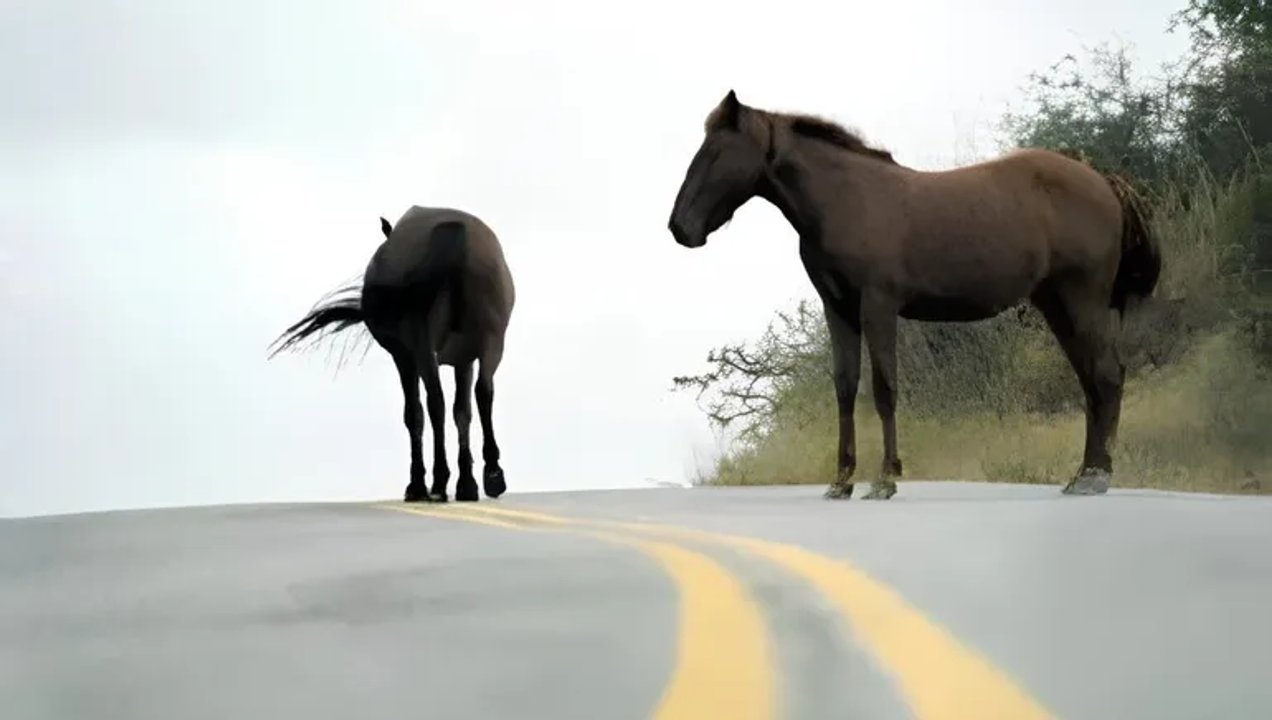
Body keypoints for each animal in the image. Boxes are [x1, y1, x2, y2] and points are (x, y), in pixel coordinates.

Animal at [269, 206, 516, 503]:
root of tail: (454, 230)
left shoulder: (404, 357)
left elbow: (415, 414)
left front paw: (419, 484)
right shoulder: (464, 359)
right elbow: (462, 412)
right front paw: (466, 483)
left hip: (423, 348)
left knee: (435, 403)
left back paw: (439, 480)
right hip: (492, 341)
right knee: (482, 391)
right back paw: (492, 474)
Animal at [667, 90, 1161, 500]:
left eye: (715, 151)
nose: (679, 227)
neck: (846, 199)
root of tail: (1104, 181)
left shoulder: (878, 306)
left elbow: (884, 387)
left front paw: (885, 479)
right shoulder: (839, 310)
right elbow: (845, 387)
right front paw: (841, 481)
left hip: (1082, 301)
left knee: (1106, 376)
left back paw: (1095, 476)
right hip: (1057, 305)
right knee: (1092, 381)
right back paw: (1083, 473)